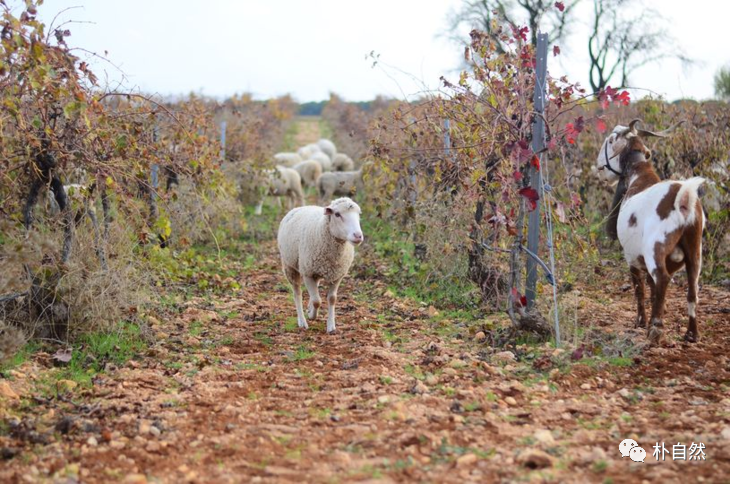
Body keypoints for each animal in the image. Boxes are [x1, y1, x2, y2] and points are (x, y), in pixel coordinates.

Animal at [277, 197, 364, 333]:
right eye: (337, 214)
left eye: (358, 214)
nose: (358, 236)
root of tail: (302, 206)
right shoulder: (307, 272)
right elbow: (317, 301)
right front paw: (312, 315)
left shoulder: (337, 275)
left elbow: (332, 299)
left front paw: (331, 326)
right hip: (289, 266)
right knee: (297, 293)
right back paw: (302, 321)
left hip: (315, 271)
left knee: (314, 289)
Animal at [597, 119, 704, 343]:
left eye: (610, 140)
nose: (599, 166)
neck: (639, 175)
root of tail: (683, 197)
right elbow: (652, 289)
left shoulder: (631, 257)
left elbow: (640, 289)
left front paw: (641, 321)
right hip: (694, 251)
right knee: (692, 289)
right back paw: (691, 333)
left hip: (655, 249)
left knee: (662, 278)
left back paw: (656, 328)